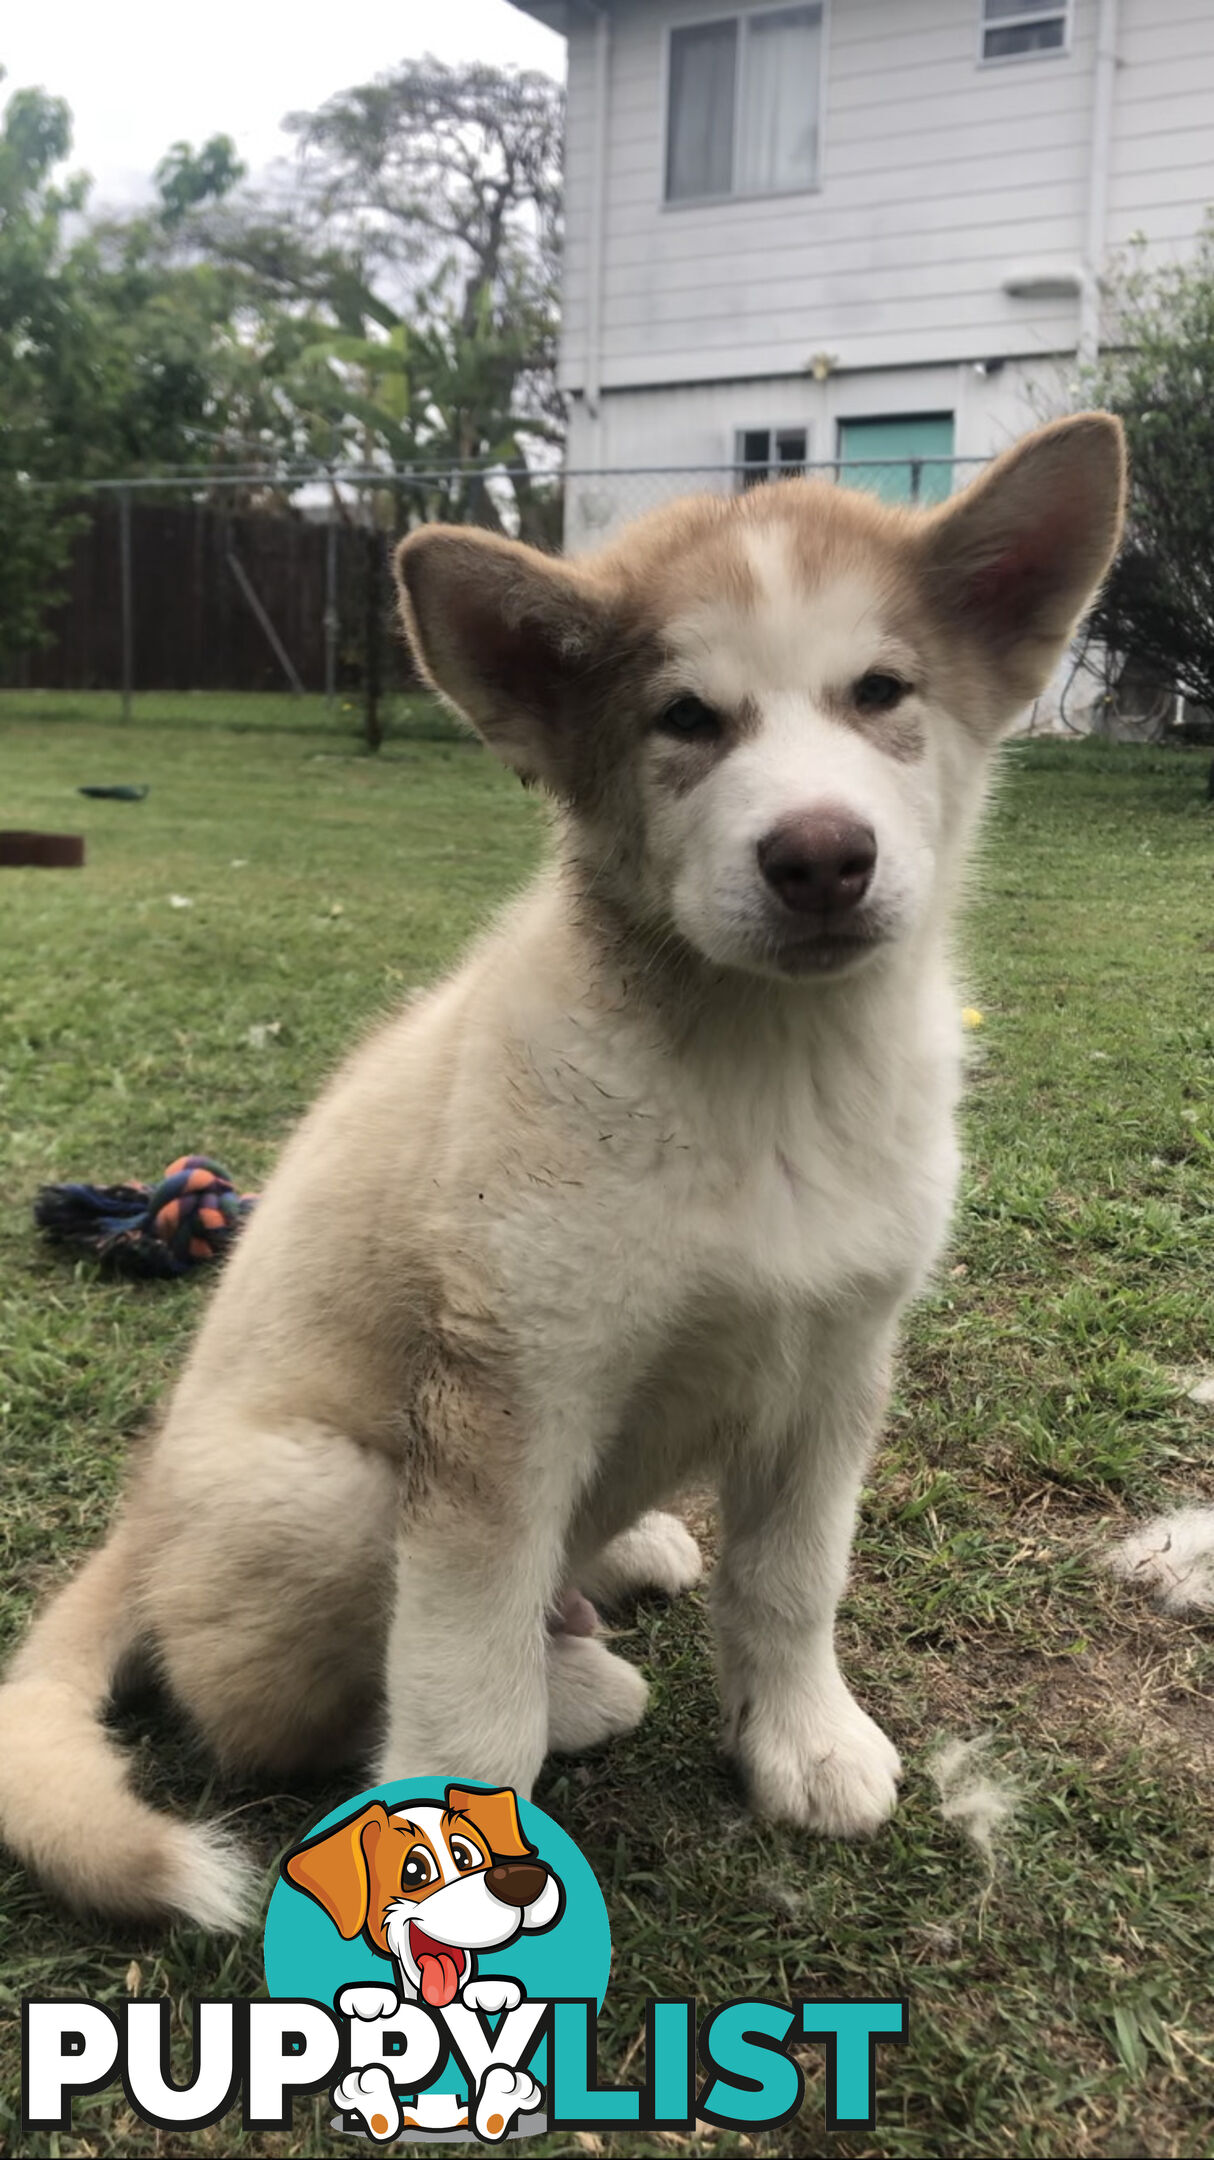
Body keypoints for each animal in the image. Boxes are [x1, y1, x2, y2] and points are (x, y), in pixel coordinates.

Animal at [0, 408, 1123, 1926]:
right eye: (686, 720)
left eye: (882, 691)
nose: (819, 857)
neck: (761, 1073)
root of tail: (138, 1525)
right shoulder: (506, 1398)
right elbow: (464, 1686)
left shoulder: (835, 1362)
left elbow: (791, 1580)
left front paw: (801, 1740)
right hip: (337, 1495)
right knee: (268, 1713)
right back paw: (577, 1684)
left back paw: (622, 1566)